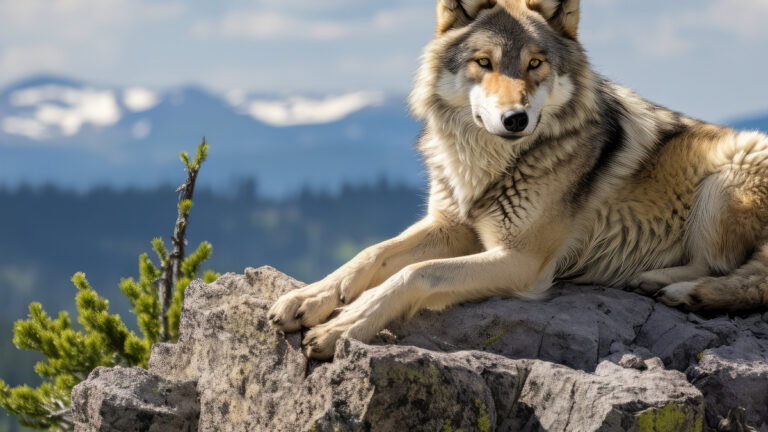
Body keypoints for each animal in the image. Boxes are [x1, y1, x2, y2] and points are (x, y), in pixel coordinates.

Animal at [269, 0, 768, 359]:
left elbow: (416, 273)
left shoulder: (521, 259)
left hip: (728, 173)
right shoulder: (451, 226)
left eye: (535, 64)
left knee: (727, 270)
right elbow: (373, 253)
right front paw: (309, 298)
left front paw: (342, 326)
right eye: (483, 62)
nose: (516, 119)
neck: (487, 164)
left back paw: (672, 287)